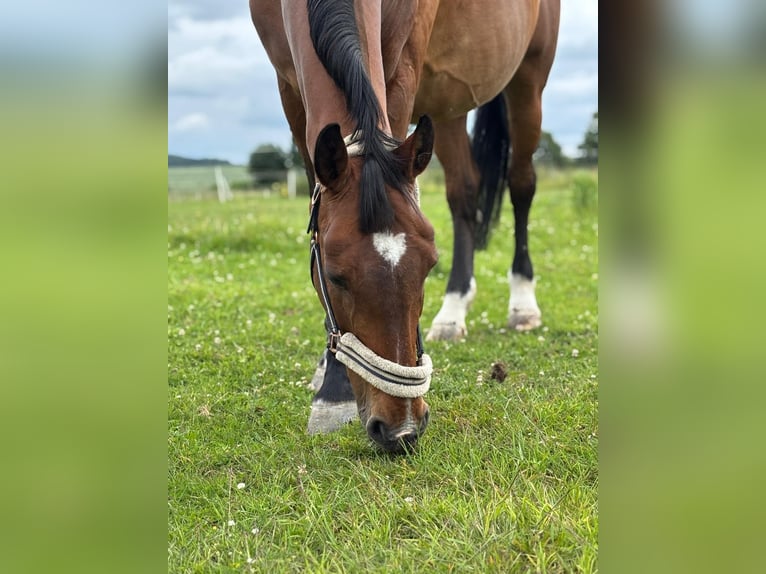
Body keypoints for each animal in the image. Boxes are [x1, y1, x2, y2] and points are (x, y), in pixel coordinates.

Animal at [250, 0, 560, 452]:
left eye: (428, 265)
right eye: (334, 276)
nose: (402, 430)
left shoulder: (402, 61)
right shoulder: (288, 87)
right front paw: (331, 380)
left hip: (528, 81)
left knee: (521, 185)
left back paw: (522, 302)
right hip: (446, 107)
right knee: (463, 194)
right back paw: (454, 310)